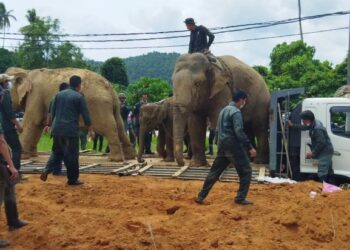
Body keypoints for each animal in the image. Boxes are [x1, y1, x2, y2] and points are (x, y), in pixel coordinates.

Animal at [7, 67, 135, 161]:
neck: (26, 71)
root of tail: (109, 86)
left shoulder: (35, 95)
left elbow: (32, 122)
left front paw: (21, 157)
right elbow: (37, 126)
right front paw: (32, 156)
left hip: (99, 105)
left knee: (109, 128)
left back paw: (115, 159)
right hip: (114, 107)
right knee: (120, 127)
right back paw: (129, 157)